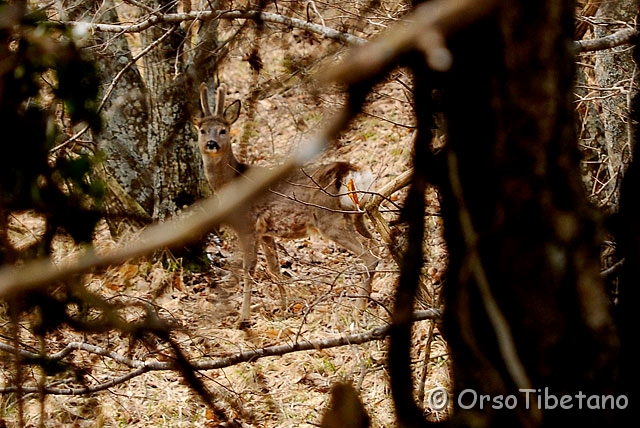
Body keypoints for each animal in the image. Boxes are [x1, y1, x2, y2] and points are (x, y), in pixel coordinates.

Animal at [192, 83, 378, 324]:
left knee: (369, 256)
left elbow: (248, 270)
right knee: (376, 244)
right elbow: (275, 268)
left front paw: (243, 318)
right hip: (358, 215)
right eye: (202, 130)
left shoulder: (248, 226)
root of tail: (349, 170)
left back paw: (358, 309)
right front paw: (284, 308)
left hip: (329, 219)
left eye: (223, 130)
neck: (232, 182)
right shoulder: (266, 232)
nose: (211, 144)